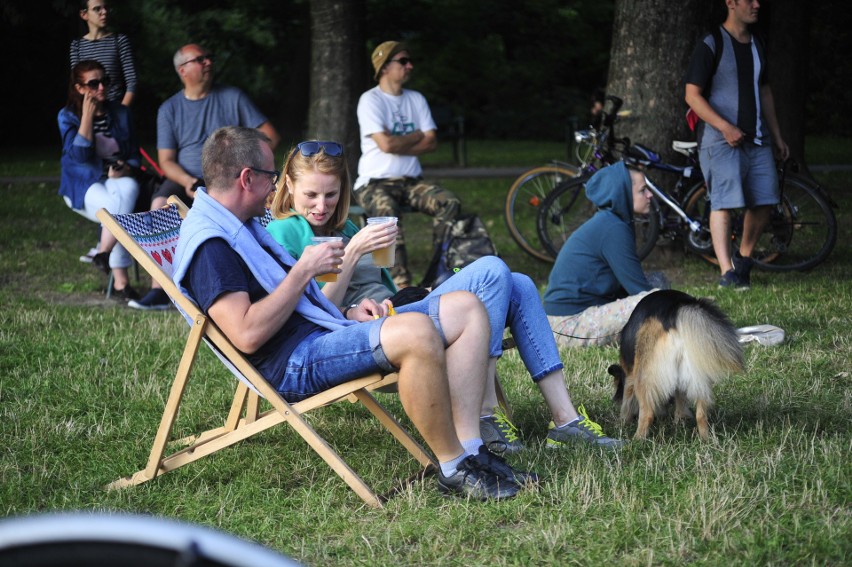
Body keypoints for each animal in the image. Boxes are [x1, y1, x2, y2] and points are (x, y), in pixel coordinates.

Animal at [608, 290, 744, 442]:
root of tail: (676, 308)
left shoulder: (630, 376)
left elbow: (627, 400)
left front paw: (622, 422)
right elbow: (680, 400)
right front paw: (680, 422)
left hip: (644, 376)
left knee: (647, 414)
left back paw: (637, 440)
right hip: (697, 370)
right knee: (701, 415)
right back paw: (706, 440)